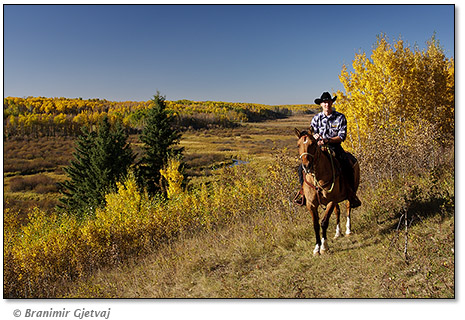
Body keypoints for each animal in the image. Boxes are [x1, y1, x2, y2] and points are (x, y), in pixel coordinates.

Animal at [294, 127, 358, 255]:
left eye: (313, 143)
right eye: (298, 145)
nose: (306, 166)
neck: (317, 178)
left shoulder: (331, 201)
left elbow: (324, 222)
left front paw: (324, 247)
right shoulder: (311, 204)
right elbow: (315, 225)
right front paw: (316, 248)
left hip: (350, 193)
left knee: (348, 207)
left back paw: (348, 231)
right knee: (338, 211)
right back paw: (338, 233)